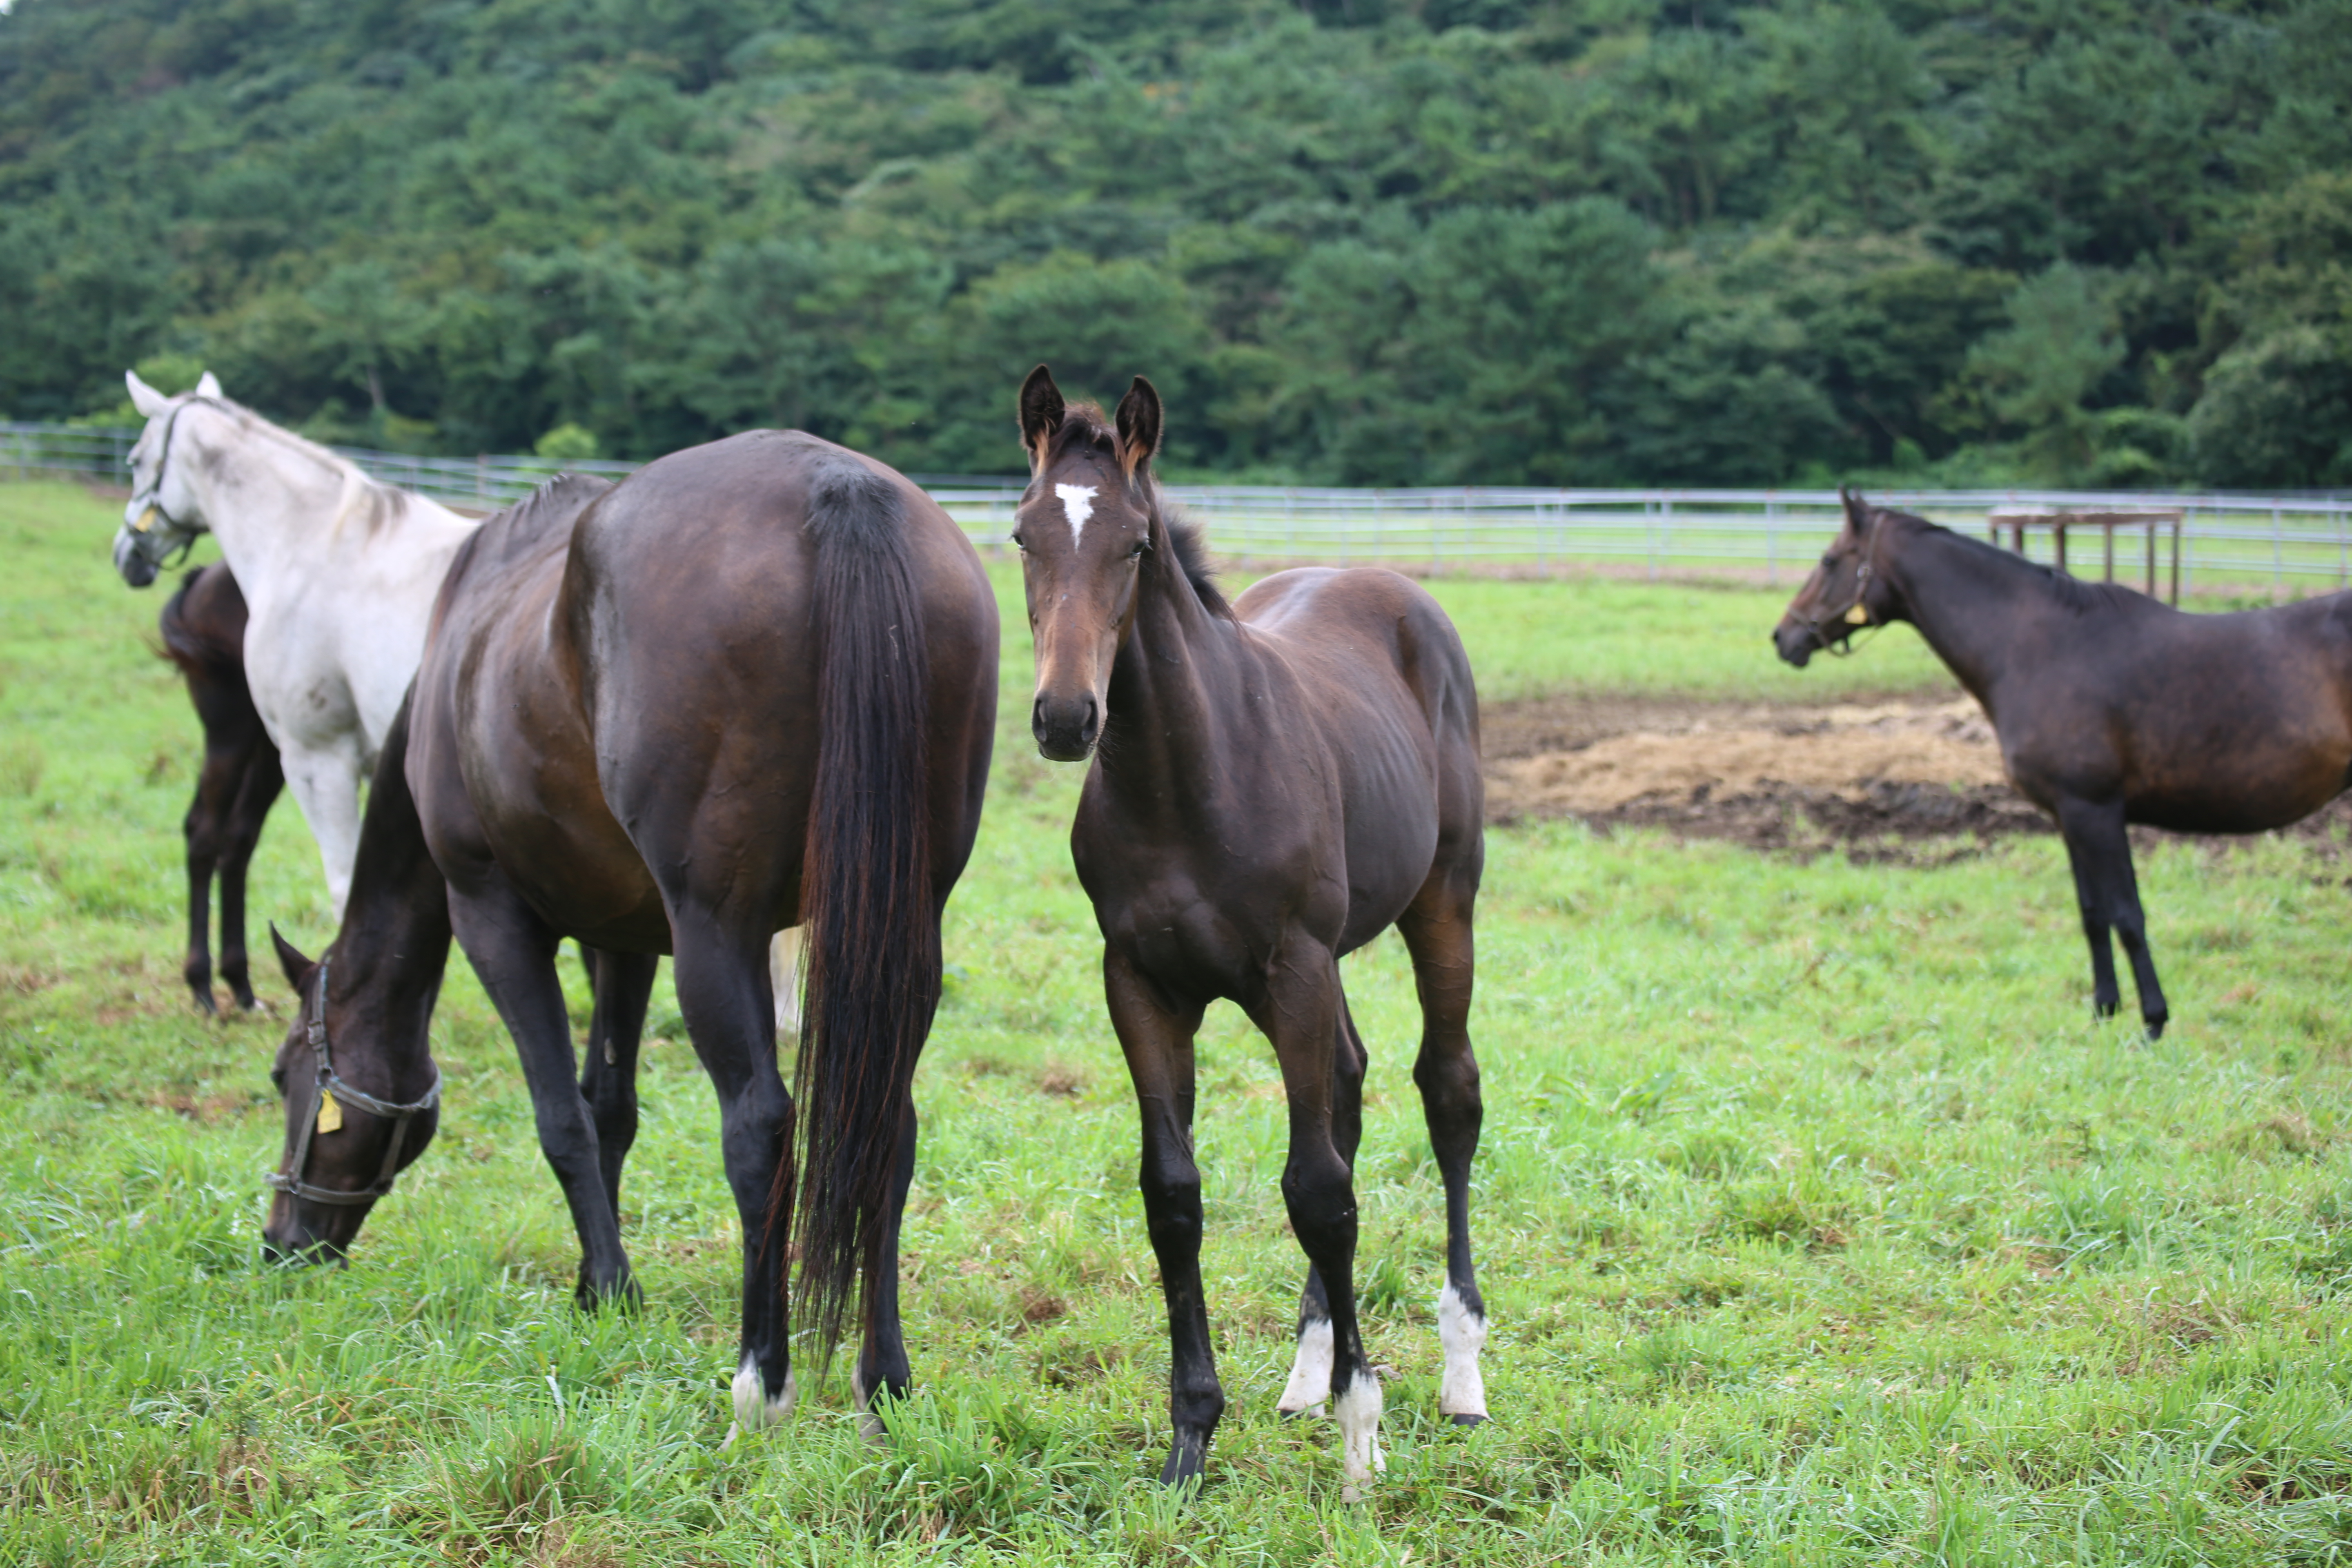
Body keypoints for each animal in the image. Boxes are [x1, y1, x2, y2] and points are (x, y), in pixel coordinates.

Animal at [117, 374, 818, 1034]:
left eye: (135, 458)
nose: (129, 555)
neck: (315, 550)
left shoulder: (319, 757)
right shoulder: (316, 756)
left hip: (256, 751)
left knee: (220, 839)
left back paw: (223, 985)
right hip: (253, 748)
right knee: (216, 839)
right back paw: (220, 986)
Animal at [262, 444, 997, 1448]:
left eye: (287, 1078)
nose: (280, 1245)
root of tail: (838, 490)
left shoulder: (494, 916)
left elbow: (561, 1118)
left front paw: (611, 1287)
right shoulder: (625, 938)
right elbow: (610, 1106)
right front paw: (592, 1284)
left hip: (718, 935)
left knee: (761, 1129)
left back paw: (761, 1382)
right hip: (900, 927)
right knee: (887, 1120)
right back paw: (882, 1381)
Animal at [1011, 369, 1486, 1495]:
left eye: (1136, 544)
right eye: (1020, 535)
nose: (1066, 717)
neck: (1190, 777)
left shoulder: (1294, 968)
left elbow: (1316, 1191)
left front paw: (1362, 1433)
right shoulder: (1139, 983)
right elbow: (1174, 1193)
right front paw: (1192, 1433)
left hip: (1443, 901)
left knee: (1446, 1092)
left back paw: (1459, 1374)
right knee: (1350, 1082)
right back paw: (1308, 1368)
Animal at [1768, 484, 2352, 1034]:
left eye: (1829, 560)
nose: (1783, 636)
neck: (2039, 647)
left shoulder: (2095, 811)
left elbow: (2127, 914)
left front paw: (2153, 1022)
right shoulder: (2069, 816)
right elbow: (2093, 915)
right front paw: (2104, 1013)